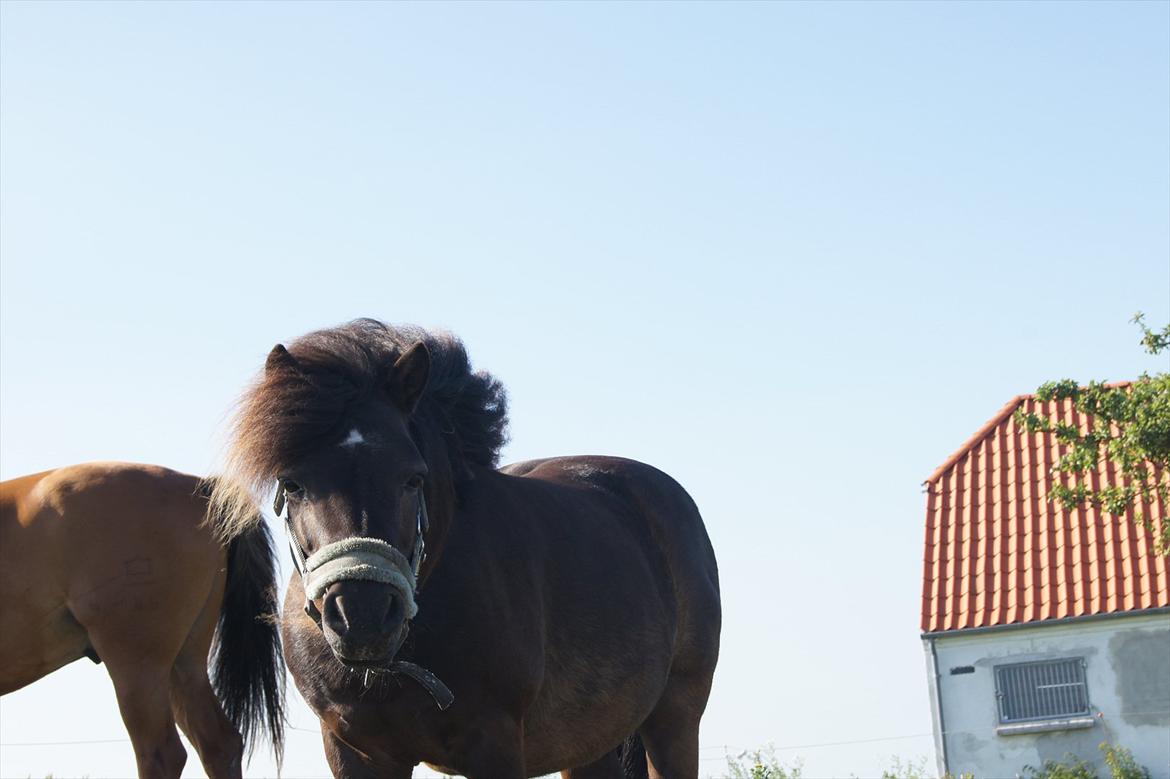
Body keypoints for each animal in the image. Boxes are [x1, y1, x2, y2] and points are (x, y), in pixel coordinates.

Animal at [214, 319, 721, 779]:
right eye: (292, 484)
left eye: (412, 478)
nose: (363, 617)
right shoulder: (354, 750)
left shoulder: (493, 745)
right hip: (590, 740)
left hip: (675, 716)